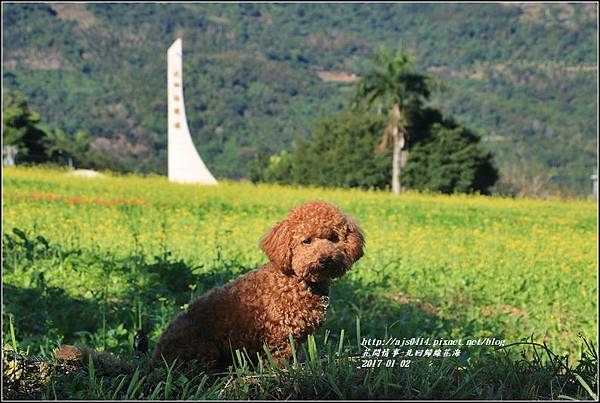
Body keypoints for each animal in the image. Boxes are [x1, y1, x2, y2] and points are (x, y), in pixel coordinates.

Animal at [152, 199, 364, 370]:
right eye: (306, 241)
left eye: (334, 238)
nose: (325, 259)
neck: (296, 282)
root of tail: (157, 352)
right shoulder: (280, 338)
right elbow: (278, 362)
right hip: (205, 350)